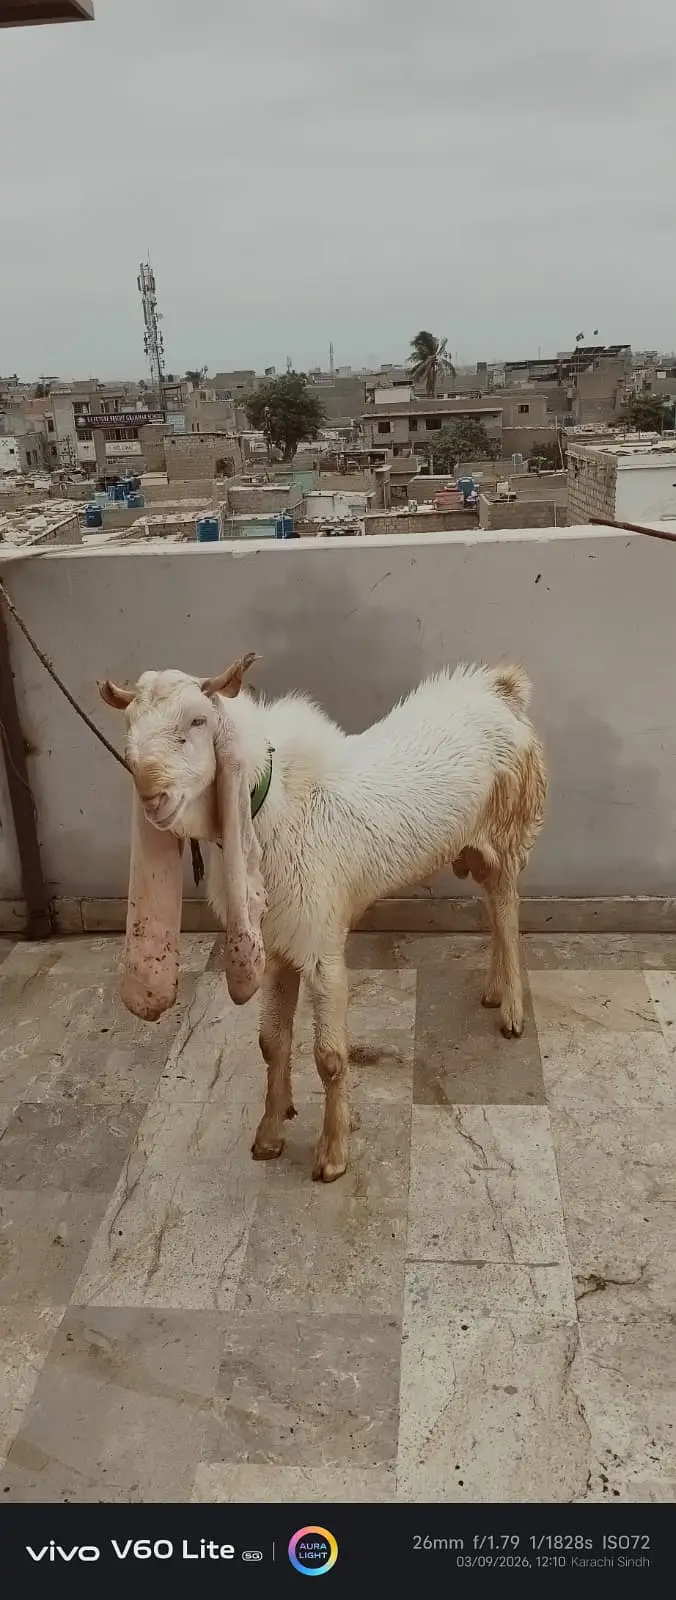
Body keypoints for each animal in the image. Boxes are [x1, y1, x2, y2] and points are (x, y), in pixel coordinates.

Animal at [99, 655, 547, 1182]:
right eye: (130, 725)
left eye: (197, 721)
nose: (153, 796)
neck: (272, 806)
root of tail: (501, 689)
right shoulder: (275, 944)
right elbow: (271, 1042)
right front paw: (270, 1133)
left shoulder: (321, 945)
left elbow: (330, 1057)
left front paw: (333, 1154)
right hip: (475, 847)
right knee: (494, 912)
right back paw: (495, 989)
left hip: (511, 831)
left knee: (508, 912)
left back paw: (513, 1011)